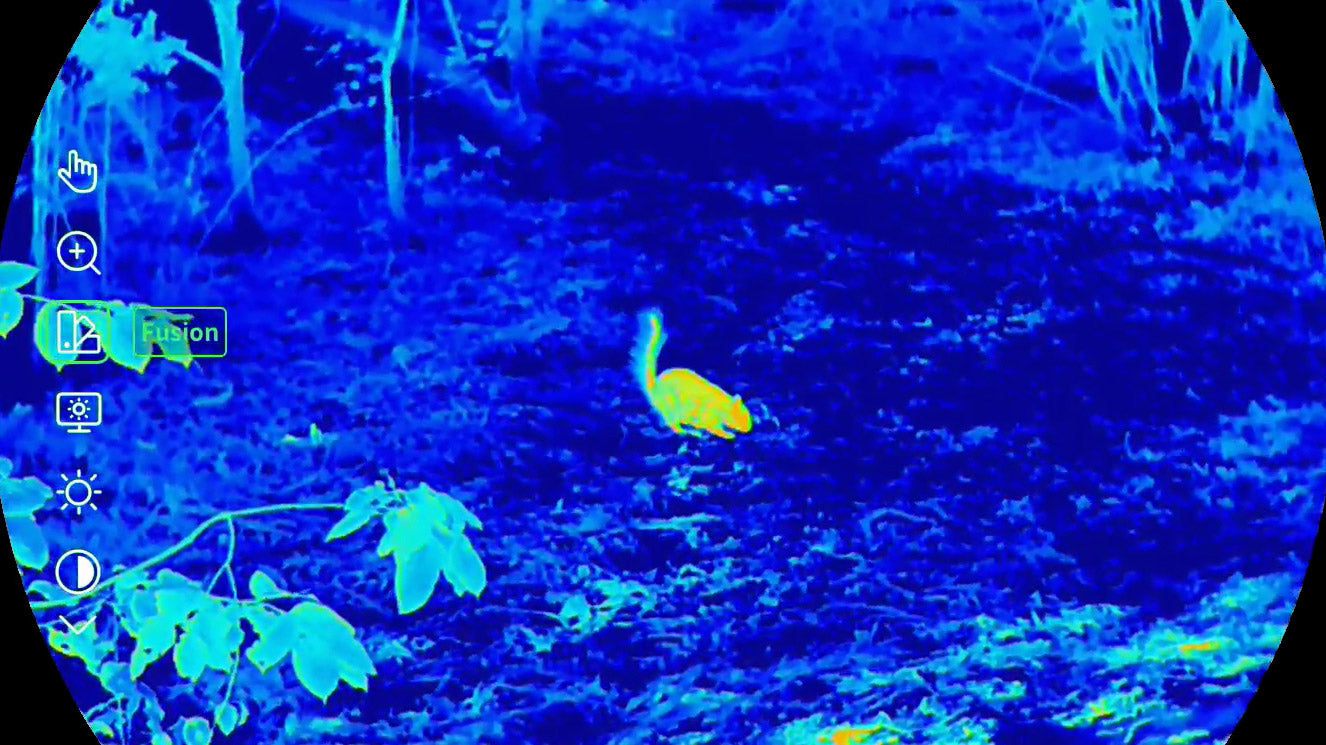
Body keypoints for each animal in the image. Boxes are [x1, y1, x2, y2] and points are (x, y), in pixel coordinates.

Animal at [630, 308, 752, 440]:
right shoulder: (710, 419)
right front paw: (729, 435)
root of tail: (654, 389)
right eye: (739, 416)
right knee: (673, 425)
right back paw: (689, 432)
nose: (749, 428)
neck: (722, 406)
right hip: (672, 409)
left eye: (746, 414)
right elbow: (717, 430)